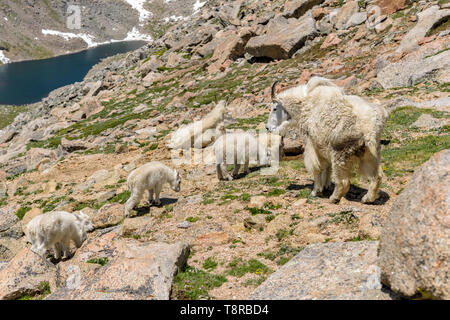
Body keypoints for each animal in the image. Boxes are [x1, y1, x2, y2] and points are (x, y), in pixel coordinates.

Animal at [266, 76, 388, 204]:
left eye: (274, 108)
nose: (268, 127)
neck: (304, 105)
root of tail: (370, 126)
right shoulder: (323, 146)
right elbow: (327, 167)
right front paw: (325, 186)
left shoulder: (311, 143)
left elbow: (317, 167)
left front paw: (316, 191)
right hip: (370, 152)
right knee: (377, 176)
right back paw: (367, 198)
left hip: (340, 152)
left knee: (344, 181)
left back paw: (334, 198)